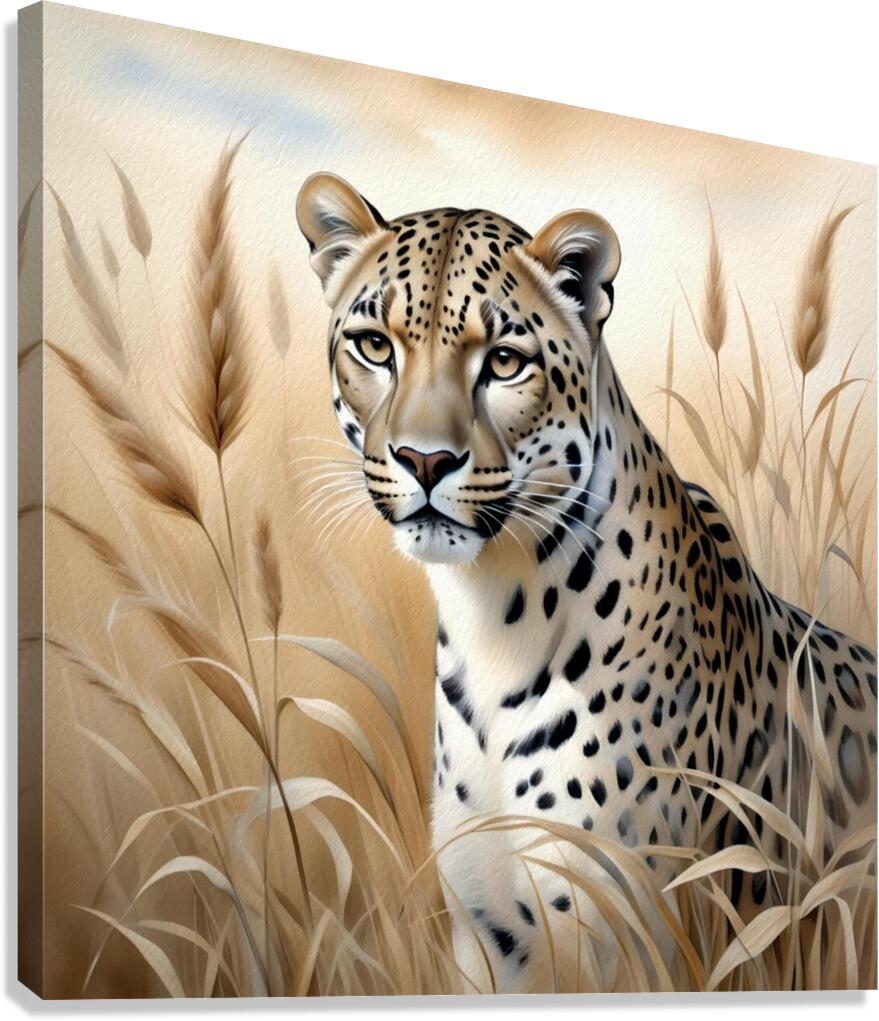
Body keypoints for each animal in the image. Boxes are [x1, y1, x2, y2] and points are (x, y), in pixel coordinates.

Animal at [296, 172, 877, 993]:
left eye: (505, 362)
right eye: (374, 346)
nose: (424, 460)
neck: (490, 618)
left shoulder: (626, 939)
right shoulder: (488, 936)